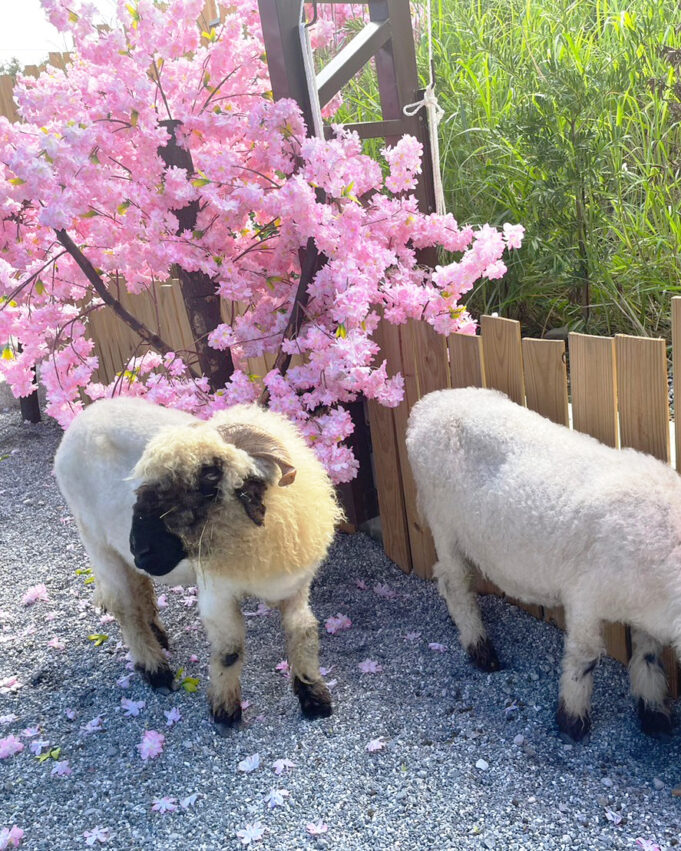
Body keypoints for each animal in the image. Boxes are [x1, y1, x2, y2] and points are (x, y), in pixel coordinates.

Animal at [53, 396, 342, 728]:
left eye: (209, 481)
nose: (140, 548)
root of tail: (81, 419)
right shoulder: (216, 593)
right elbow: (230, 650)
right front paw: (225, 710)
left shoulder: (295, 585)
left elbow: (303, 631)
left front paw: (314, 697)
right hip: (97, 542)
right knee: (124, 607)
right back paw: (155, 669)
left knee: (139, 584)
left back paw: (157, 634)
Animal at [406, 390, 680, 744]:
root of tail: (427, 404)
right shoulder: (586, 595)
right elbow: (585, 655)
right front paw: (572, 720)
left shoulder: (645, 608)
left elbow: (648, 655)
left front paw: (653, 713)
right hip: (443, 520)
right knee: (454, 582)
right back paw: (481, 650)